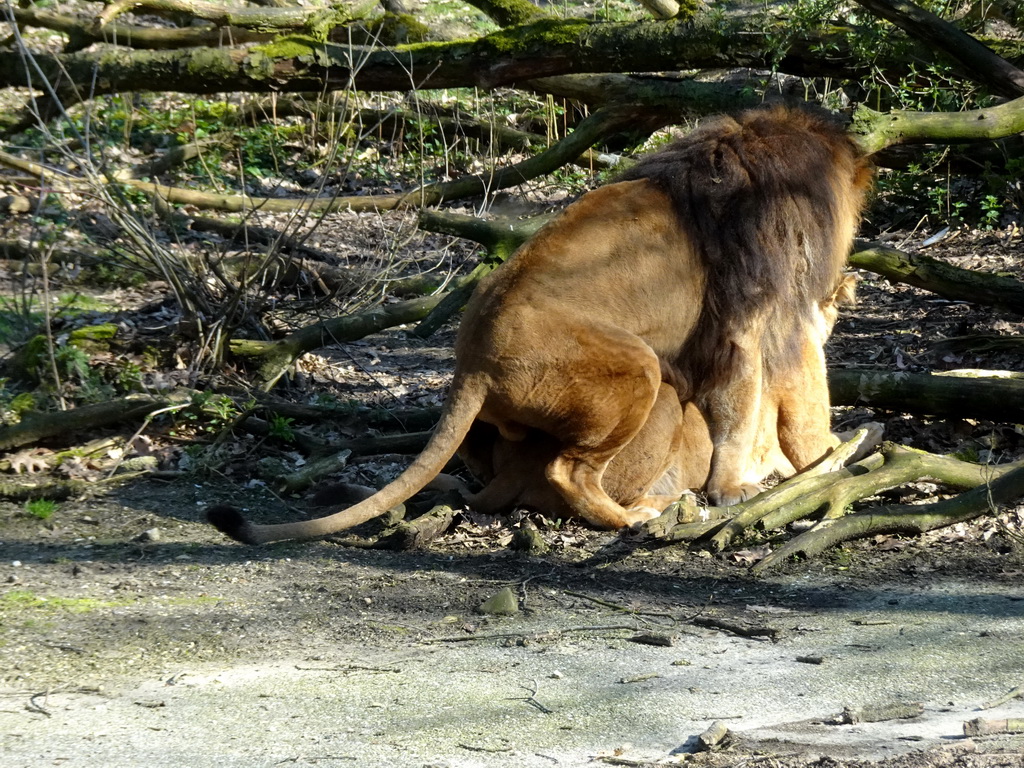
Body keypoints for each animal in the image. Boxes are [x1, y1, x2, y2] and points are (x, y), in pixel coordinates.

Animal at [209, 105, 872, 544]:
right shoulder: (756, 317)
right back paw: (634, 517)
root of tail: (472, 362)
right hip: (640, 368)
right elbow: (765, 401)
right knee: (568, 470)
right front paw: (767, 477)